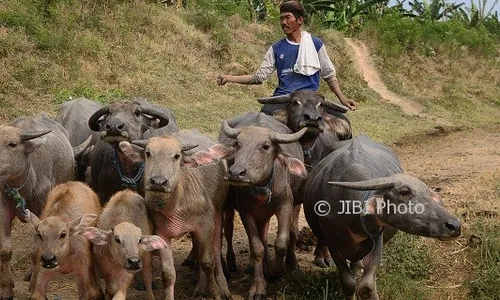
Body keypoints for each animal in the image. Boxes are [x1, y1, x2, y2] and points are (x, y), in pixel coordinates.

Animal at [0, 114, 77, 300]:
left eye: (12, 144)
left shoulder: (42, 212)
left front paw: (35, 287)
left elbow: (37, 251)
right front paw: (6, 289)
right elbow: (5, 250)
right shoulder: (3, 208)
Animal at [300, 137, 460, 300]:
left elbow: (367, 286)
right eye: (405, 192)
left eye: (427, 192)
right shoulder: (333, 245)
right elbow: (349, 284)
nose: (454, 226)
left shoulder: (376, 240)